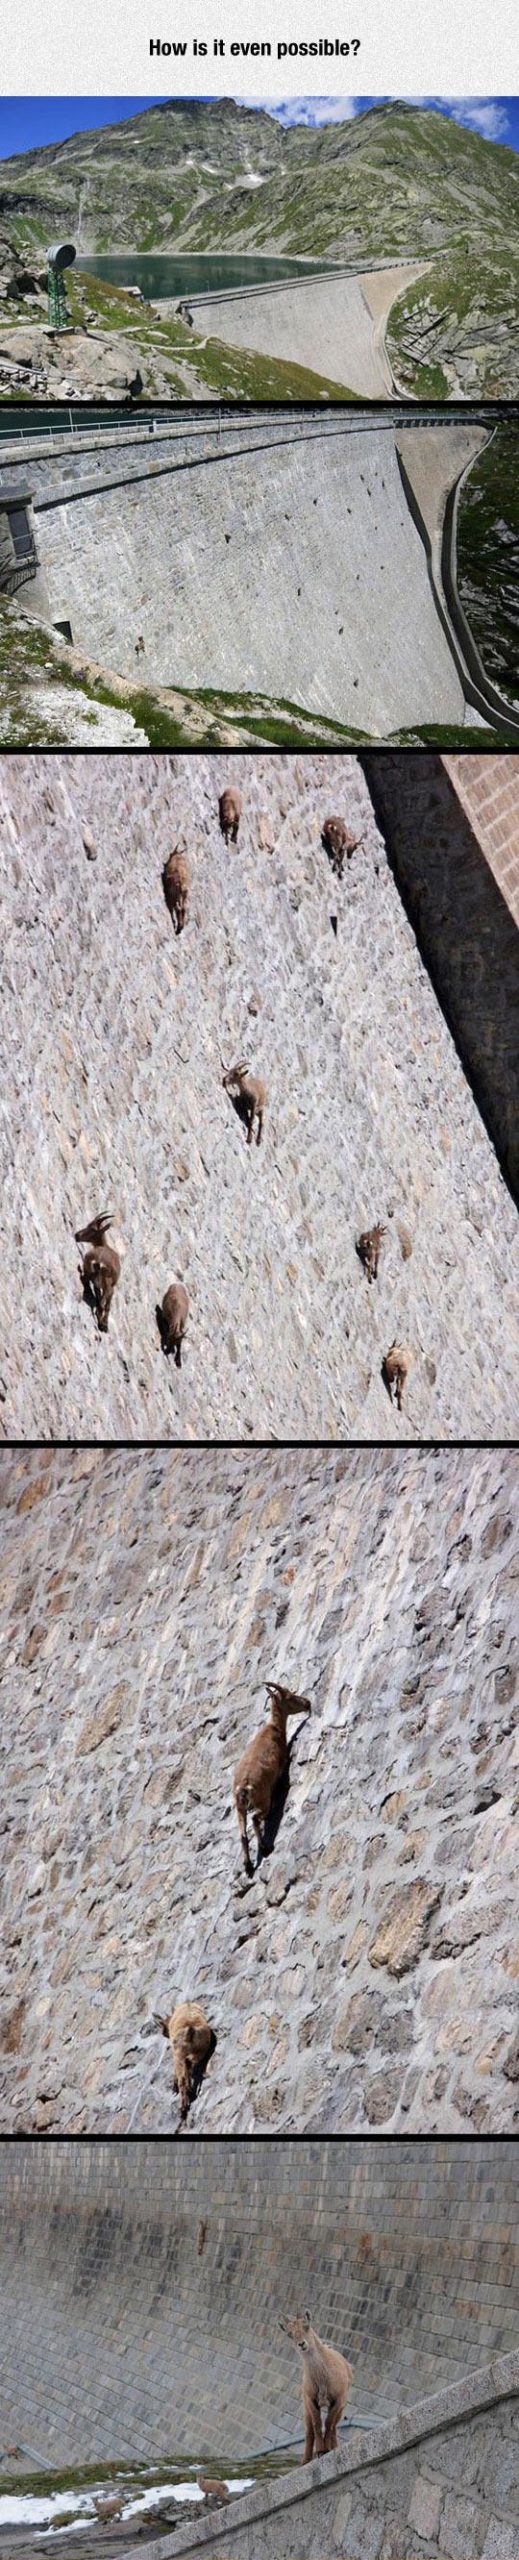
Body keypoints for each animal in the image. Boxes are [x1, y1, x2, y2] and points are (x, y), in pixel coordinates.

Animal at [234, 1681, 312, 1875]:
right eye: (290, 1696)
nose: (307, 1703)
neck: (274, 1728)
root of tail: (244, 1787)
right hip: (262, 1800)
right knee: (255, 1819)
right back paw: (265, 1848)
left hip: (239, 1809)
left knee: (242, 1834)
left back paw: (248, 1866)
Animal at [280, 2313, 353, 2463]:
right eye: (289, 2334)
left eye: (307, 2326)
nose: (302, 2344)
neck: (322, 2378)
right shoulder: (311, 2400)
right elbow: (317, 2424)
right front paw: (320, 2450)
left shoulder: (338, 2400)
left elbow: (329, 2423)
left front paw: (326, 2449)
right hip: (305, 2408)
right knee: (309, 2431)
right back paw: (305, 2460)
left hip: (342, 2407)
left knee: (335, 2426)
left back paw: (334, 2447)